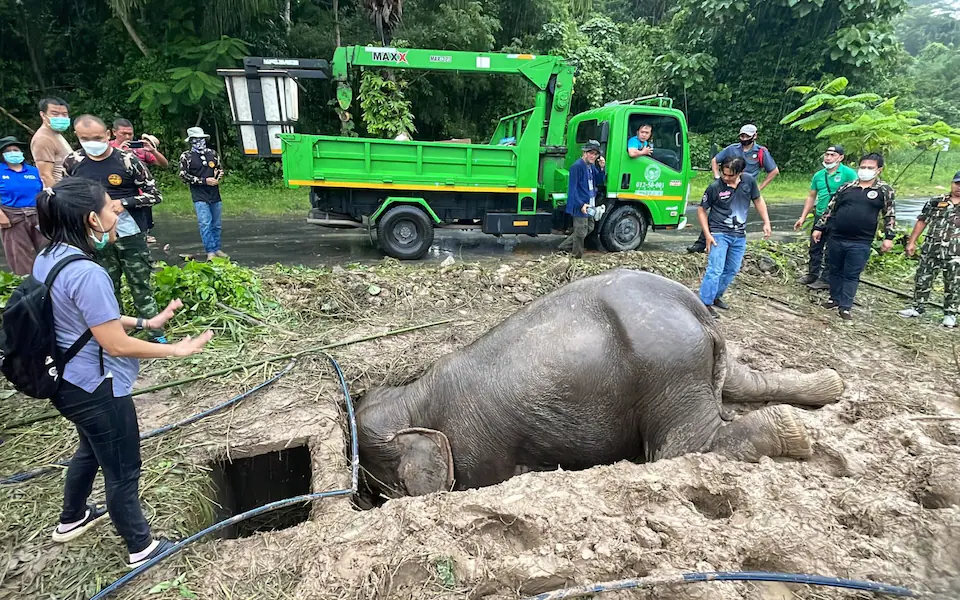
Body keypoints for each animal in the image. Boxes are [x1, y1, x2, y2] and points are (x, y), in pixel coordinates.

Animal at [356, 270, 844, 500]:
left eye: (383, 488)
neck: (413, 397)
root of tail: (696, 308)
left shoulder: (478, 450)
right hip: (695, 363)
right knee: (744, 382)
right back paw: (831, 388)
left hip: (668, 371)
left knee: (681, 449)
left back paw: (794, 432)